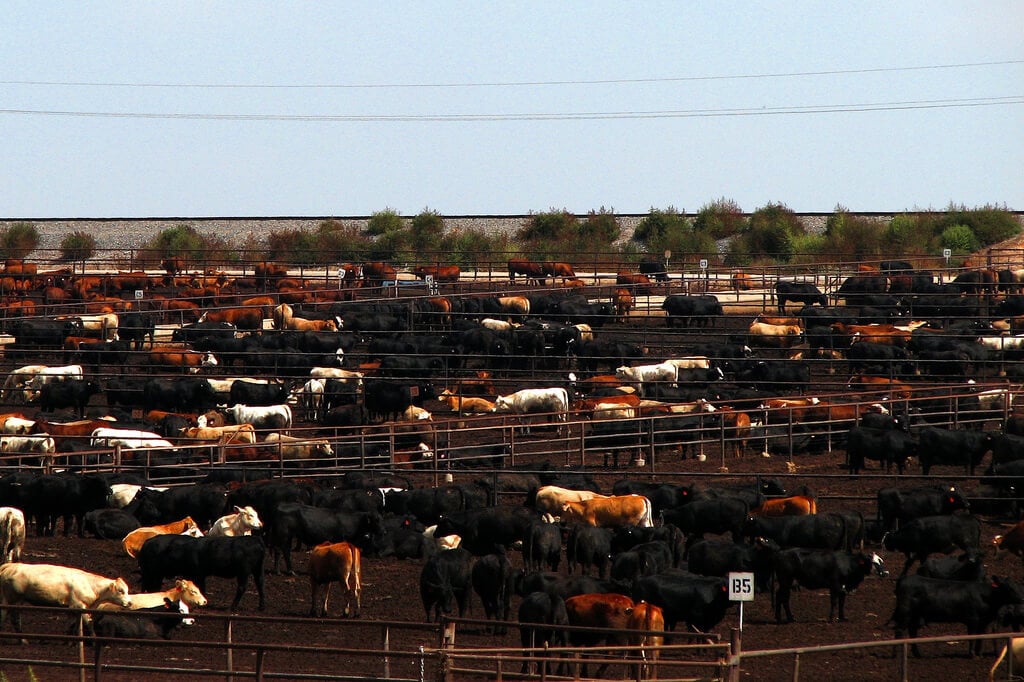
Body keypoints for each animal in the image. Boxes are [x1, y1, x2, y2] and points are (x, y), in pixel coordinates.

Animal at [137, 532, 268, 606]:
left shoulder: (197, 574)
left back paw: (233, 606)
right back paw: (261, 606)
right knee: (260, 585)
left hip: (243, 572)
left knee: (242, 587)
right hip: (258, 570)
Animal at [888, 573, 1024, 655]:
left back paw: (917, 654)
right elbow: (972, 636)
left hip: (914, 616)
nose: (1021, 598)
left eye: (1017, 586)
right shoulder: (973, 619)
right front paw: (972, 654)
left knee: (912, 632)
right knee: (899, 630)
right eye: (1009, 588)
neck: (986, 596)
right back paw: (896, 654)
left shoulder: (983, 622)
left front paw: (979, 653)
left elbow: (981, 637)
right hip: (905, 613)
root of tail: (904, 579)